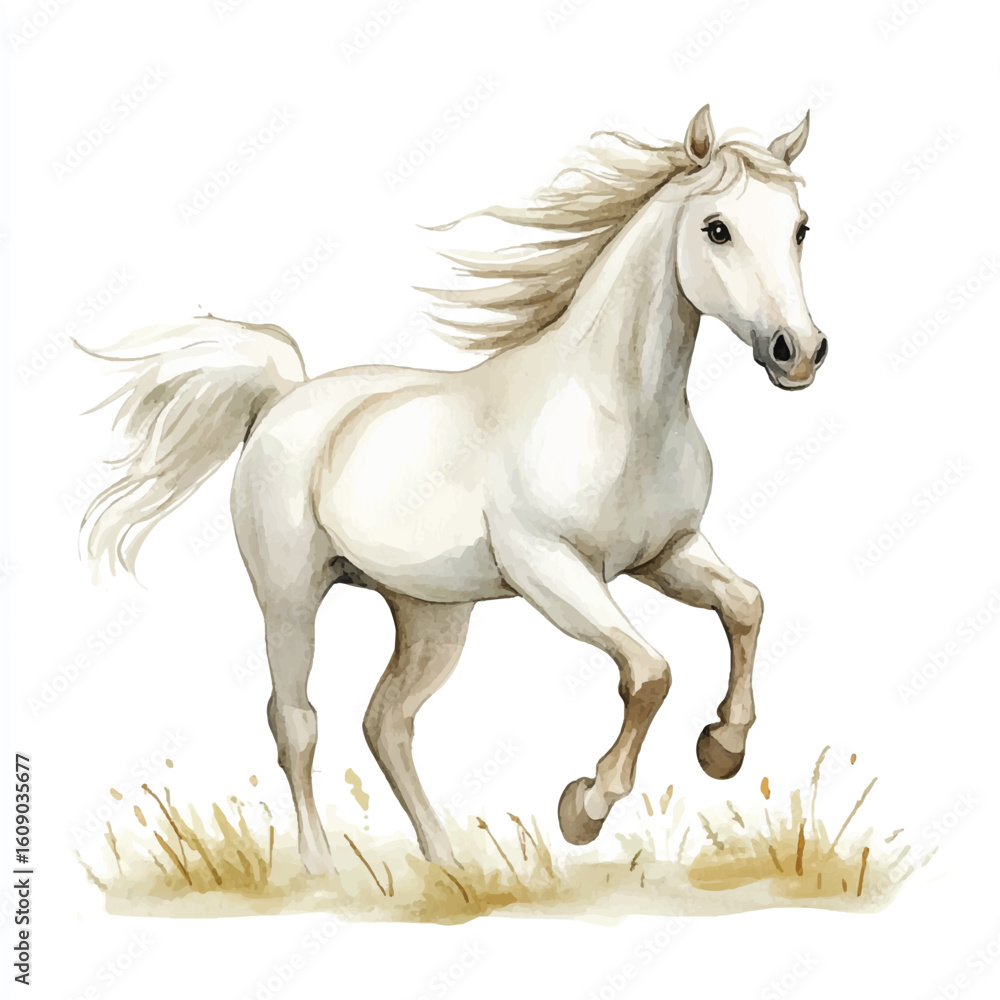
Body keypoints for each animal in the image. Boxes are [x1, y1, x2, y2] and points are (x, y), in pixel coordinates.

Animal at [79, 105, 827, 874]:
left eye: (801, 227)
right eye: (717, 228)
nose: (797, 352)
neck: (616, 412)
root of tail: (284, 397)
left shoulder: (666, 553)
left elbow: (745, 605)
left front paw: (722, 748)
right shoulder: (551, 568)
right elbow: (649, 671)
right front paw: (584, 807)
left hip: (431, 616)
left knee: (387, 723)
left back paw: (447, 862)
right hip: (289, 595)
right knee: (296, 721)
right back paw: (320, 865)